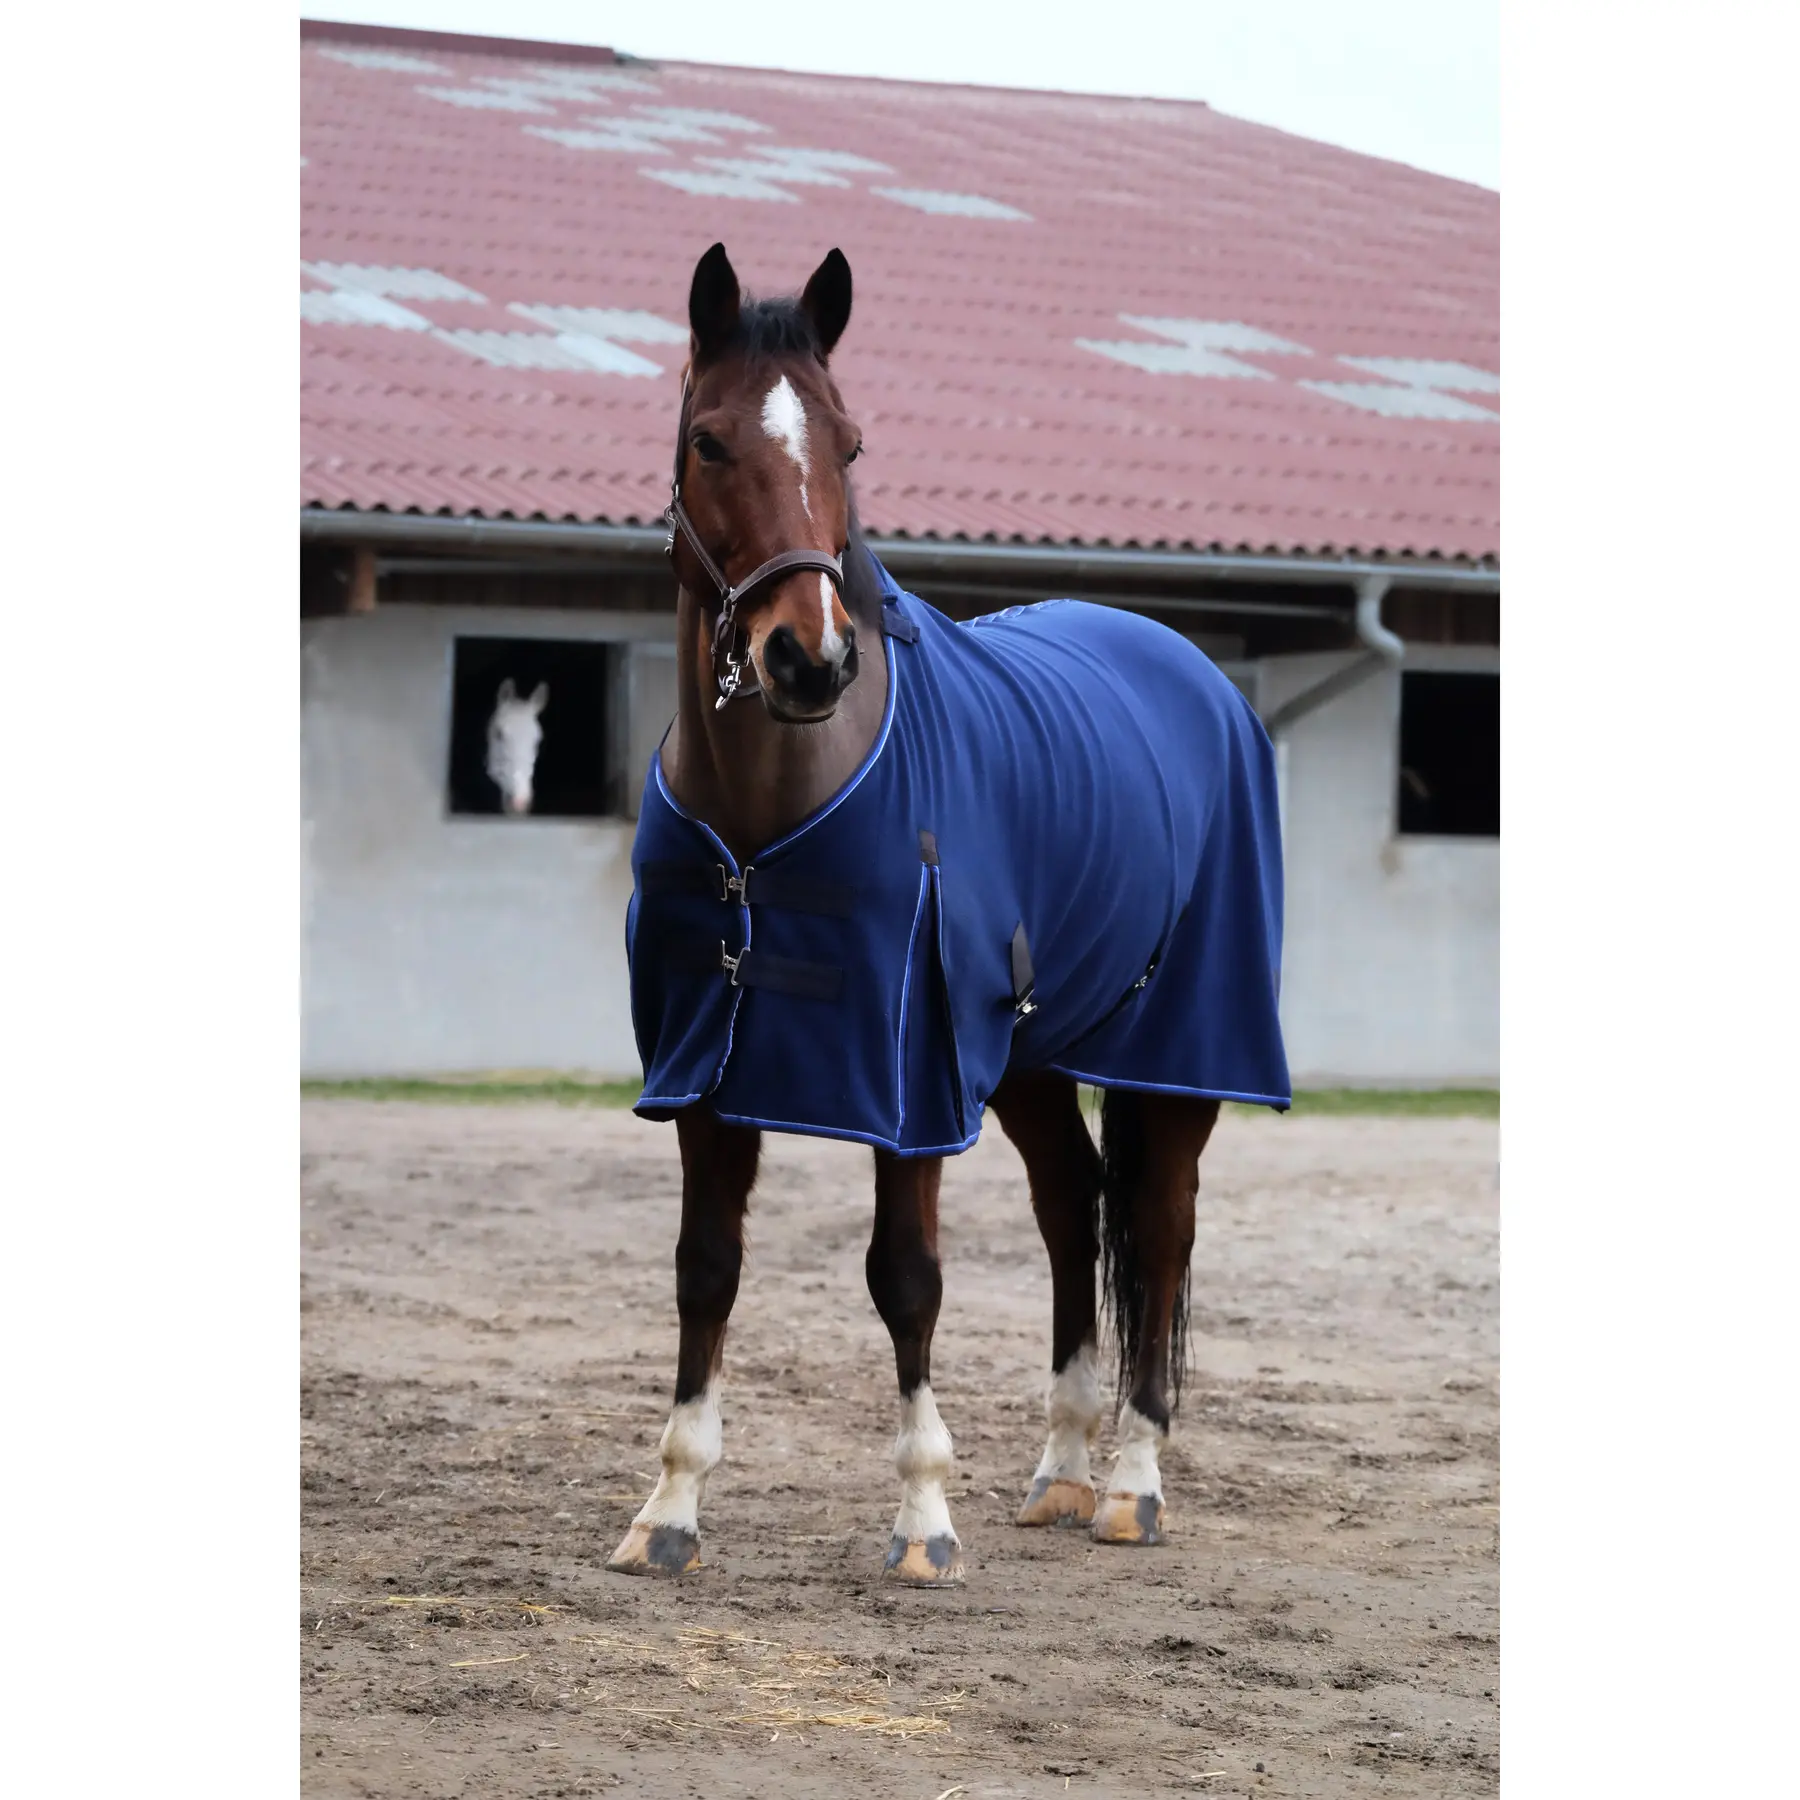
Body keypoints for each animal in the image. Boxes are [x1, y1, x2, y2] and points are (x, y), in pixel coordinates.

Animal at [606, 243, 1290, 1586]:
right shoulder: (706, 1071)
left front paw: (924, 1518)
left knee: (1160, 1226)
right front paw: (669, 1510)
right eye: (709, 441)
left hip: (1182, 1051)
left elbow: (907, 1276)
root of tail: (1196, 676)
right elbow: (705, 1271)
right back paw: (1061, 1470)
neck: (770, 816)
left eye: (851, 443)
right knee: (1073, 1208)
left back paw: (1132, 1483)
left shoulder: (906, 1077)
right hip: (1028, 1054)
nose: (807, 660)